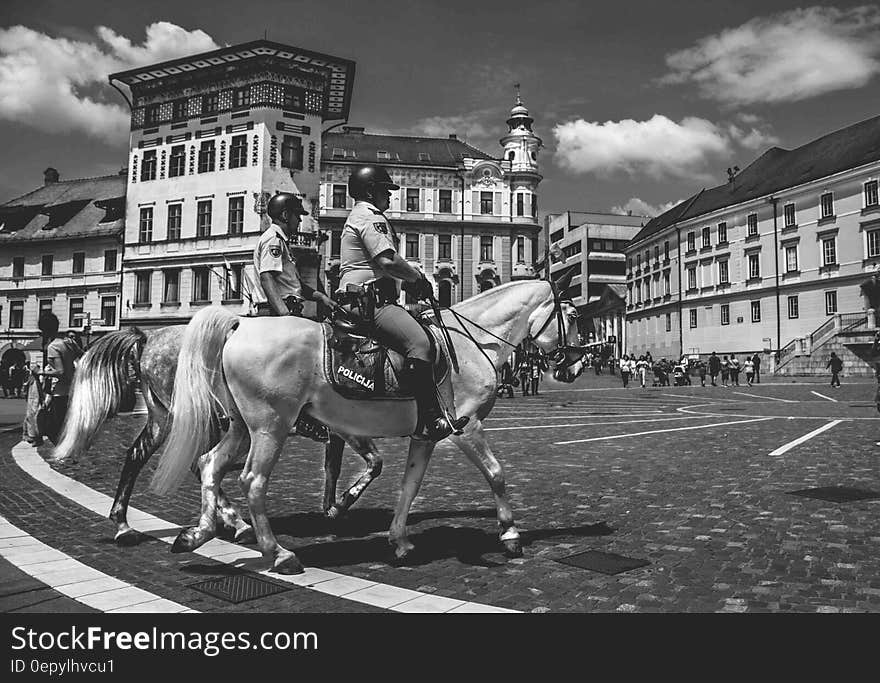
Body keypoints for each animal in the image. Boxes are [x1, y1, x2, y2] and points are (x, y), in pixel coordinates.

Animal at [151, 280, 584, 576]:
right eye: (574, 317)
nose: (576, 365)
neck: (472, 343)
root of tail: (241, 324)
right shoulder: (467, 426)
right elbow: (496, 474)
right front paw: (510, 535)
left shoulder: (426, 434)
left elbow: (409, 485)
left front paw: (399, 540)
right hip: (270, 427)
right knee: (252, 481)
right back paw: (278, 553)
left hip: (242, 427)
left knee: (209, 464)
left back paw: (198, 533)